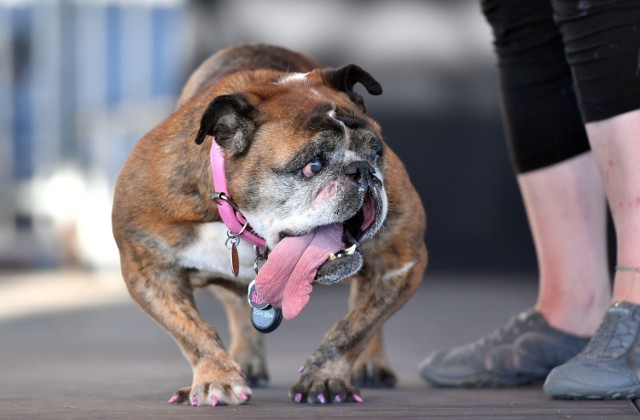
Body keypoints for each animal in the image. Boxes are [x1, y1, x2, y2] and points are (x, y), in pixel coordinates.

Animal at [112, 44, 428, 406]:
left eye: (376, 152)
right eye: (313, 165)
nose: (363, 171)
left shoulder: (400, 261)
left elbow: (356, 326)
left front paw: (324, 377)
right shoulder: (149, 271)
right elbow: (191, 331)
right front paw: (217, 378)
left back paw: (372, 364)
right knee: (237, 303)